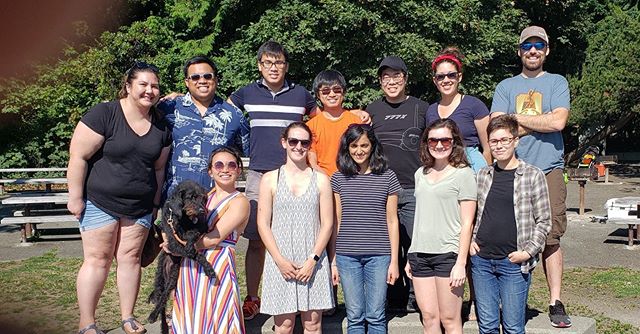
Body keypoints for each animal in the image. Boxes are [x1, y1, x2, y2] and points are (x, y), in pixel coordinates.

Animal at [147, 181, 215, 332]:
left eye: (204, 198)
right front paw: (208, 268)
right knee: (161, 296)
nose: (203, 211)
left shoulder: (200, 228)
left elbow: (193, 234)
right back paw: (153, 310)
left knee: (165, 294)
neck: (184, 218)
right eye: (191, 197)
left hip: (173, 275)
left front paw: (190, 243)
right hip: (159, 275)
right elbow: (195, 254)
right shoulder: (173, 242)